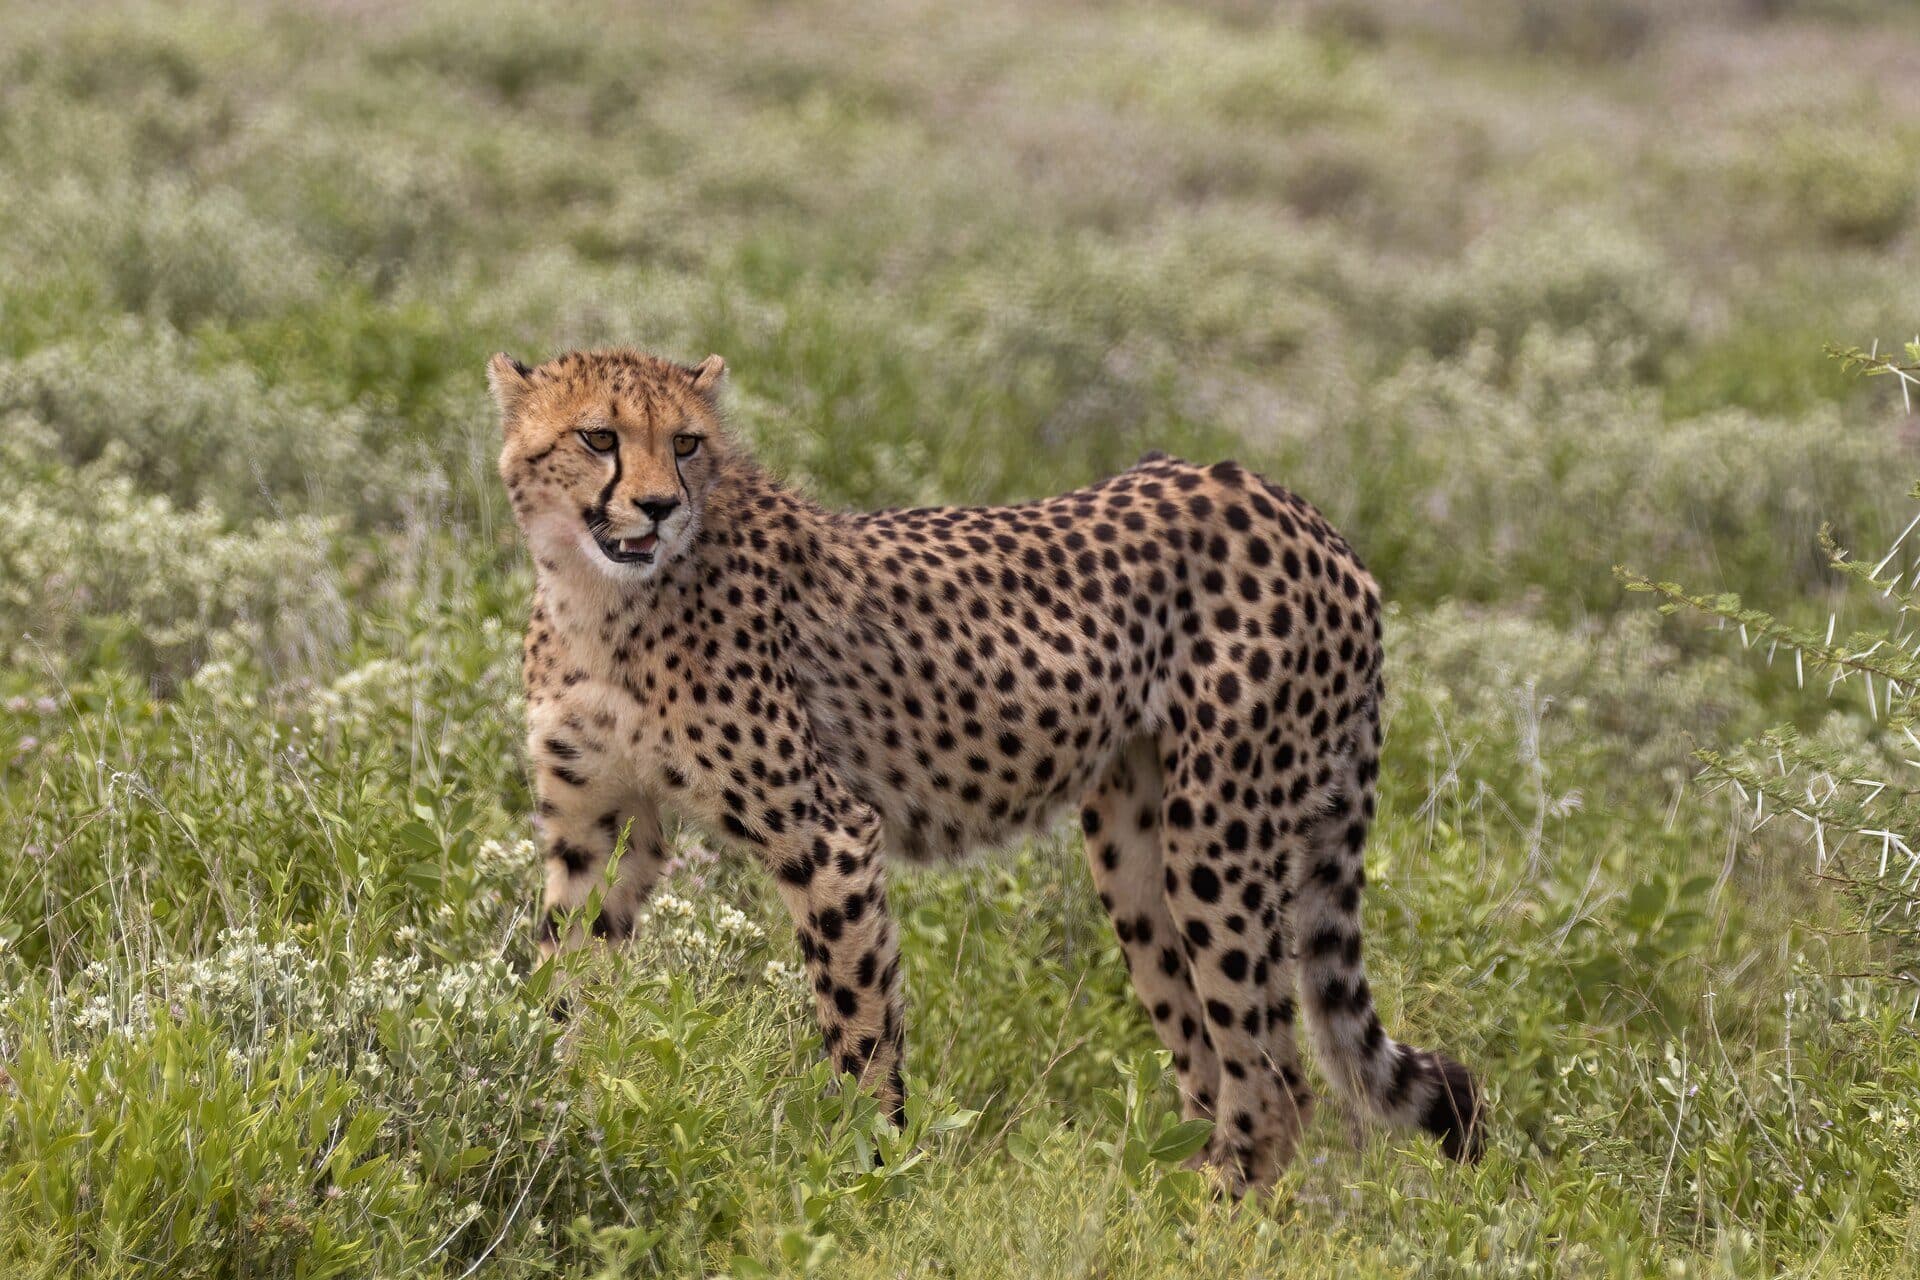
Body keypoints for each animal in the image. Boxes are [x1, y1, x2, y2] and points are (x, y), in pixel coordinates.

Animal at [490, 345, 1483, 1192]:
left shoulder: (829, 835)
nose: (659, 507)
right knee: (1215, 1066)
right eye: (599, 437)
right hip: (1136, 858)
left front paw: (870, 1181)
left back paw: (1206, 1223)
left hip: (1221, 836)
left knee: (1276, 1083)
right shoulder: (597, 830)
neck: (600, 598)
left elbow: (859, 1031)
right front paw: (548, 1113)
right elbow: (562, 986)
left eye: (687, 444)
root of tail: (1303, 511)